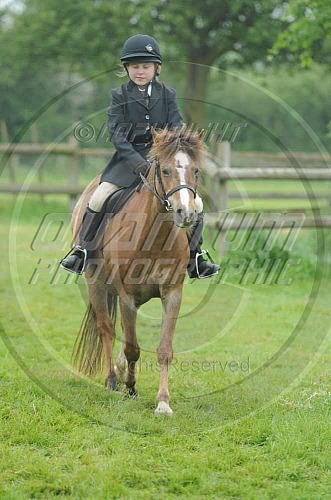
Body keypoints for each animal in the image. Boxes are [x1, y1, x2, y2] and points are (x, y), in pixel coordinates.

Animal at [72, 129, 205, 414]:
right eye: (164, 170)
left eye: (196, 171)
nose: (186, 214)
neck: (154, 236)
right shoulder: (126, 296)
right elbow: (132, 347)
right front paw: (130, 386)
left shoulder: (172, 294)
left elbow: (164, 349)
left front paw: (163, 402)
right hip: (96, 284)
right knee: (107, 329)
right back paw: (113, 379)